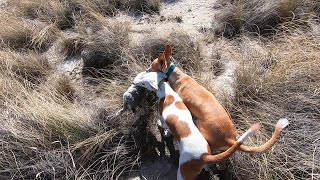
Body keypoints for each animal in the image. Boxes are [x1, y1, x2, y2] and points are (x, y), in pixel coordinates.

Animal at [132, 70, 260, 180]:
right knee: (206, 167)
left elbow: (164, 126)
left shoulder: (163, 119)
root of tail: (204, 156)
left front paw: (164, 131)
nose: (133, 82)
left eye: (143, 82)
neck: (166, 93)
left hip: (183, 172)